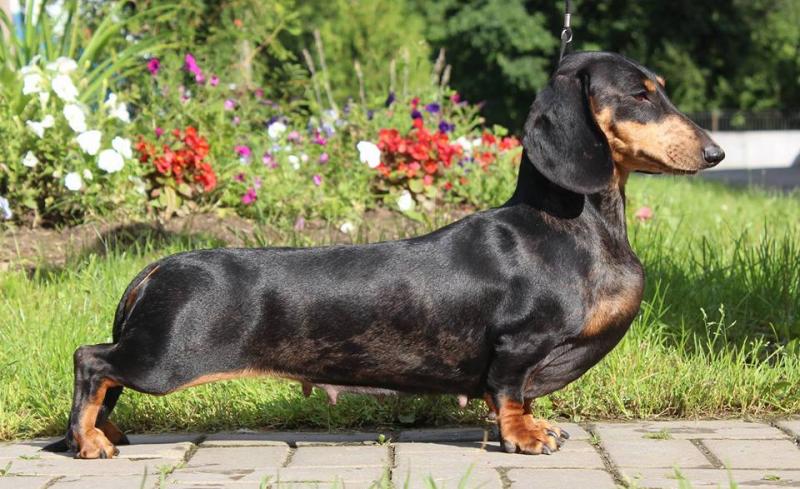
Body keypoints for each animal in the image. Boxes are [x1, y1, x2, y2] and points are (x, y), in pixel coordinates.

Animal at [44, 51, 723, 459]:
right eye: (641, 95)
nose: (716, 153)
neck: (568, 226)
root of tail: (158, 265)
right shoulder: (517, 344)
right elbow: (509, 393)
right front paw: (525, 437)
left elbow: (523, 395)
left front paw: (536, 424)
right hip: (165, 359)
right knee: (92, 361)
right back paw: (89, 440)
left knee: (105, 375)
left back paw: (103, 430)